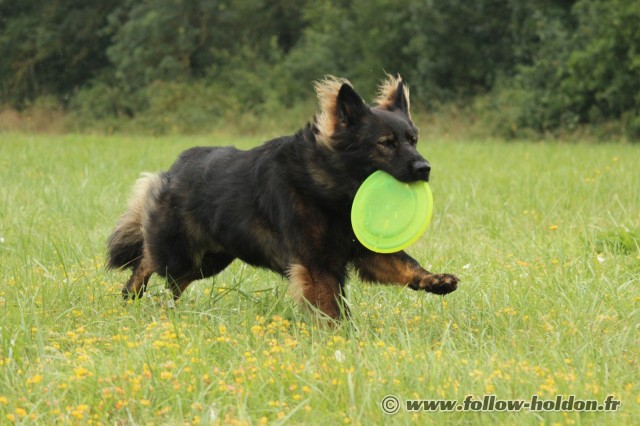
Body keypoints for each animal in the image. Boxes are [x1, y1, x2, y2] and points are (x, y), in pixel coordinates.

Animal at [109, 75, 460, 320]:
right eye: (386, 143)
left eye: (413, 140)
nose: (425, 168)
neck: (329, 185)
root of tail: (173, 170)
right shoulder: (316, 263)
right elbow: (331, 305)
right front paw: (341, 335)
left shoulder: (363, 251)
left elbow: (404, 262)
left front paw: (435, 280)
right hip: (180, 253)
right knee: (146, 259)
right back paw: (131, 296)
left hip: (209, 260)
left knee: (173, 283)